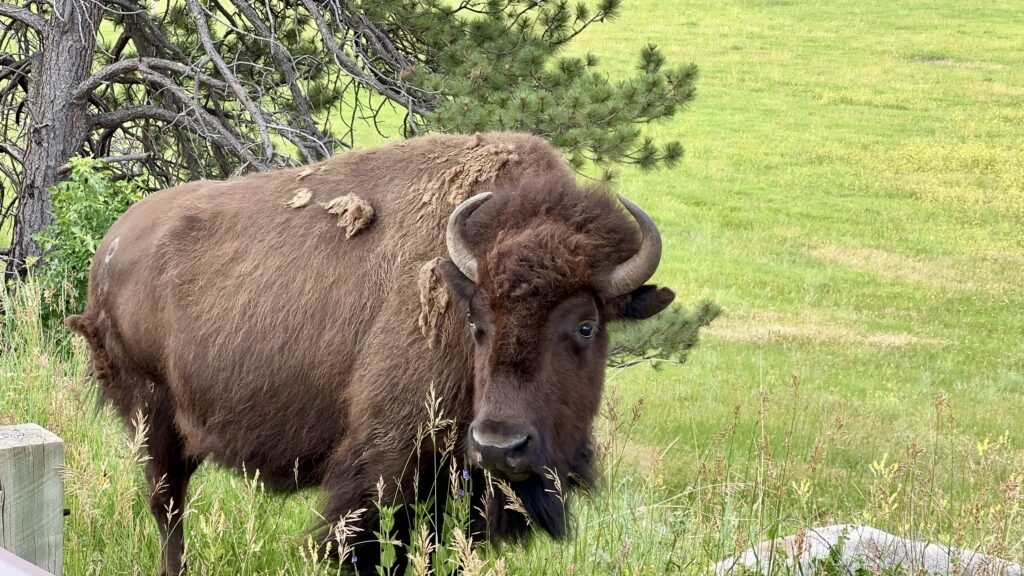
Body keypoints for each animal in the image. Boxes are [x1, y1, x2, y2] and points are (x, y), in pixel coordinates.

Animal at [67, 132, 675, 575]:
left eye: (587, 326)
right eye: (475, 319)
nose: (499, 445)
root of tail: (110, 247)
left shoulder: (454, 497)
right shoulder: (378, 479)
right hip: (153, 421)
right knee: (168, 510)